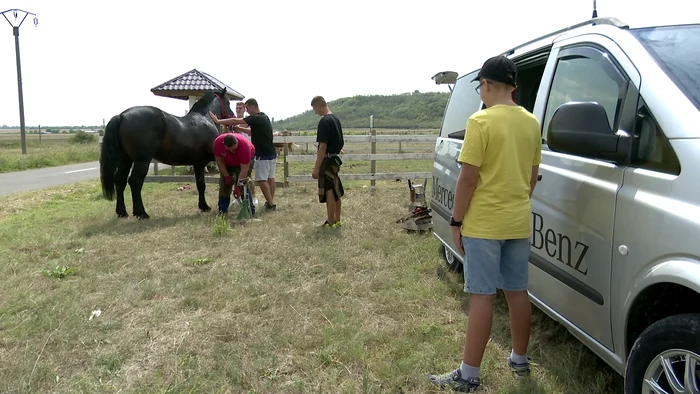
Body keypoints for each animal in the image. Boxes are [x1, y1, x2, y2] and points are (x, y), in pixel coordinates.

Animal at [100, 87, 234, 220]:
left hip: (125, 160)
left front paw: (204, 206)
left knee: (120, 181)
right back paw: (141, 213)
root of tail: (122, 115)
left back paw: (122, 212)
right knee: (135, 182)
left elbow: (201, 184)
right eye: (228, 102)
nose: (232, 116)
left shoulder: (199, 164)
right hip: (142, 161)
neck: (205, 119)